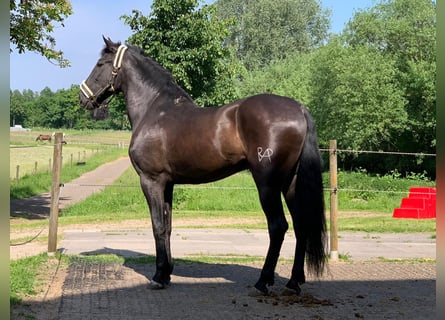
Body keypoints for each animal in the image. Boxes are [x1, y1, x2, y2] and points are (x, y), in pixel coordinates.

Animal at [78, 37, 324, 296]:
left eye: (100, 64)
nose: (82, 98)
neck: (154, 110)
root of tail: (298, 109)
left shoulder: (151, 181)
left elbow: (157, 226)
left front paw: (158, 276)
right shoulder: (168, 184)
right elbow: (168, 225)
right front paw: (167, 273)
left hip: (267, 184)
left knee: (278, 226)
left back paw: (263, 282)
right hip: (291, 183)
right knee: (301, 225)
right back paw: (294, 282)